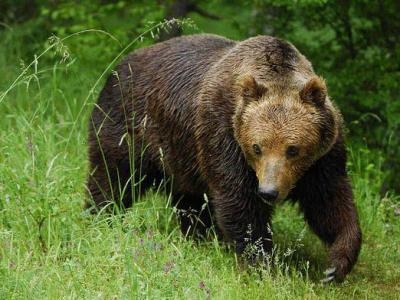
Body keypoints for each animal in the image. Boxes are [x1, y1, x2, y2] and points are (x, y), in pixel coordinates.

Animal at [87, 34, 362, 282]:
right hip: (130, 124)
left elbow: (328, 202)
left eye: (292, 149)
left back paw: (196, 236)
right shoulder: (223, 134)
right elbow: (239, 201)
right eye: (257, 147)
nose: (269, 192)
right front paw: (261, 264)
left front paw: (335, 265)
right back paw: (101, 216)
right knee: (114, 176)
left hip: (182, 156)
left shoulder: (322, 159)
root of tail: (118, 65)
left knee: (190, 200)